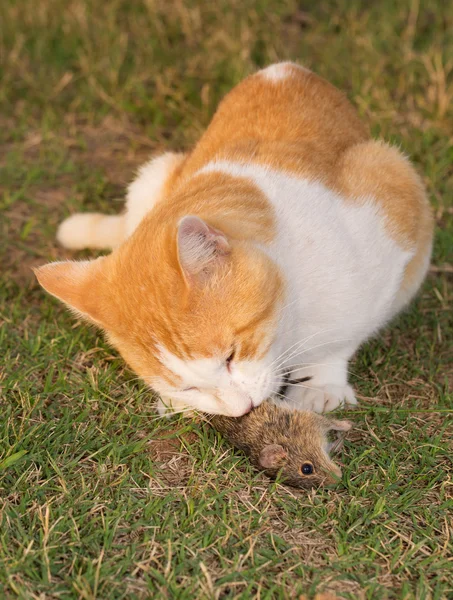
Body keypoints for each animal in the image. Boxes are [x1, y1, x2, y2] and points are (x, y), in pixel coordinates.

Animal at [34, 62, 430, 418]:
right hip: (153, 175)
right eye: (188, 387)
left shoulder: (387, 219)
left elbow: (340, 336)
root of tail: (285, 68)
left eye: (231, 355)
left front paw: (321, 384)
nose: (242, 409)